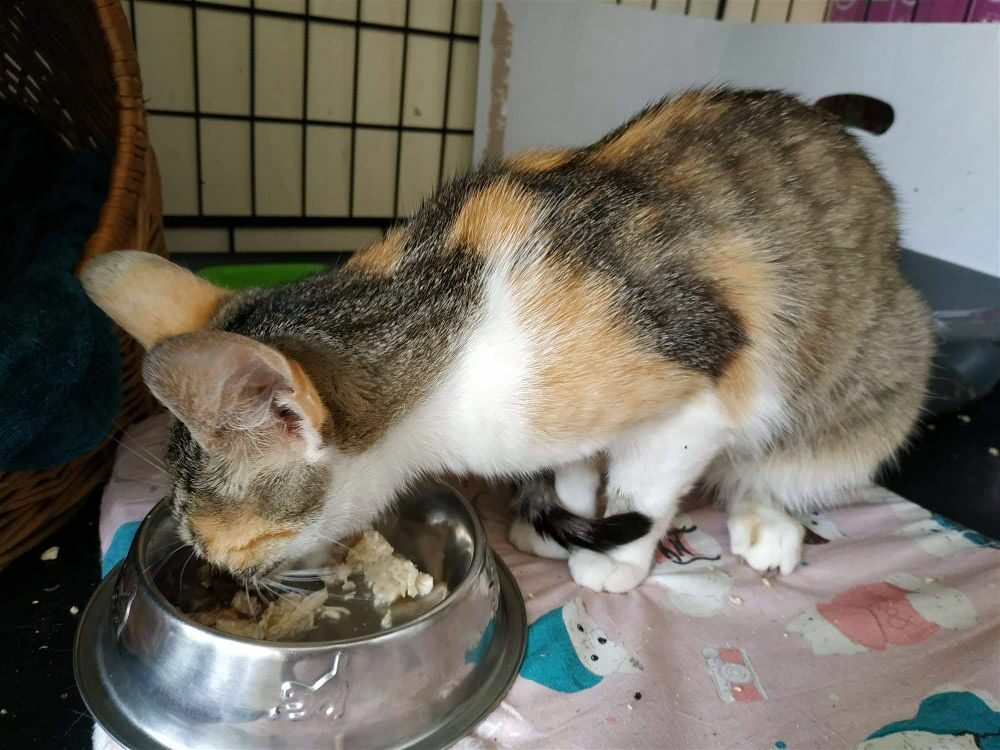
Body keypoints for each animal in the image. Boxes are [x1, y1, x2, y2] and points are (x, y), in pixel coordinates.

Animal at [81, 89, 933, 593]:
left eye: (210, 533)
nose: (210, 565)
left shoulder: (698, 383)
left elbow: (644, 482)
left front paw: (613, 559)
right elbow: (579, 464)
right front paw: (561, 509)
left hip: (874, 375)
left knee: (785, 460)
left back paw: (769, 521)